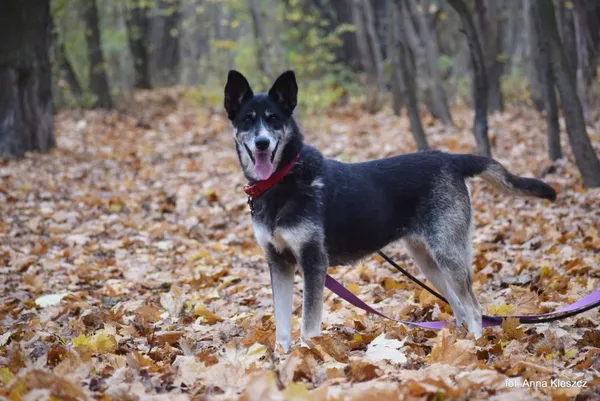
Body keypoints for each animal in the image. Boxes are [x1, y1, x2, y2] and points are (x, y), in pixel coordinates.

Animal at [225, 70, 556, 352]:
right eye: (247, 119)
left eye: (274, 119)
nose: (262, 142)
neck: (282, 181)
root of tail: (451, 159)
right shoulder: (279, 263)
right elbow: (282, 328)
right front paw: (284, 362)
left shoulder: (312, 262)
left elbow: (308, 326)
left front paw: (311, 357)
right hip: (427, 260)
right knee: (460, 308)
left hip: (447, 254)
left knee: (474, 309)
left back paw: (474, 348)